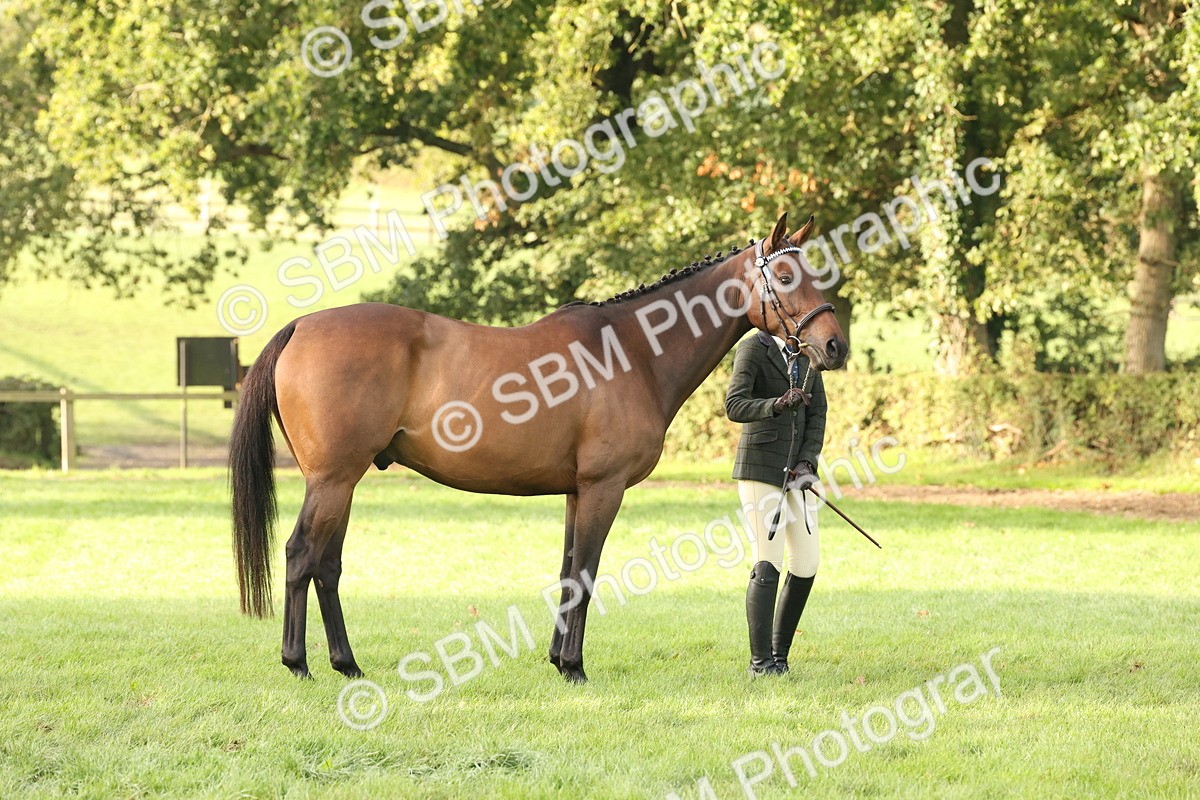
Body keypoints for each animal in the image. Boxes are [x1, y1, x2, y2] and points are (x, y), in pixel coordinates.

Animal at [230, 212, 848, 682]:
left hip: (344, 482)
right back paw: (299, 663)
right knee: (301, 555)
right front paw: (573, 666)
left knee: (327, 566)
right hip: (333, 480)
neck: (633, 349)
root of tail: (302, 327)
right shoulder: (603, 488)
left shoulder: (576, 492)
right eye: (785, 274)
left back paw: (347, 664)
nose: (833, 347)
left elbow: (568, 570)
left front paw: (557, 659)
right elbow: (588, 572)